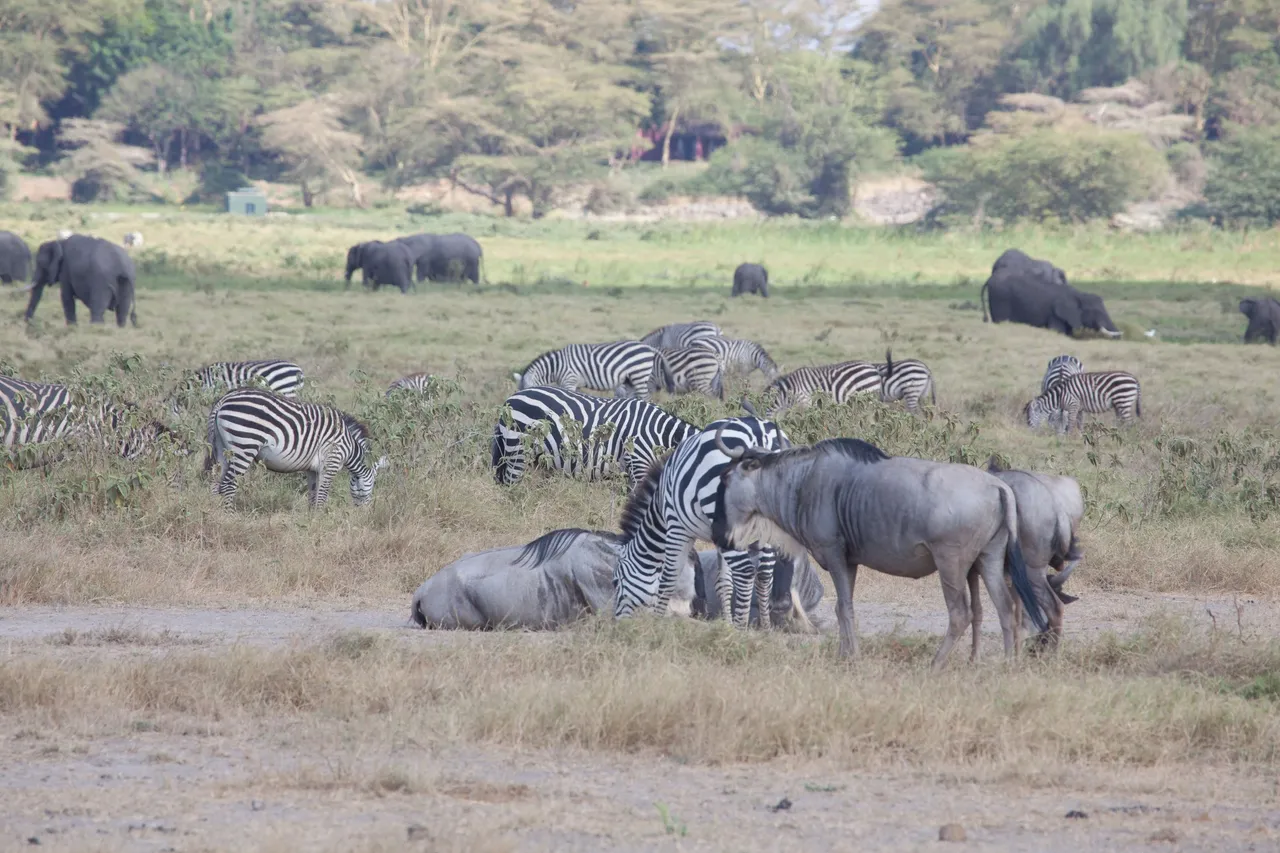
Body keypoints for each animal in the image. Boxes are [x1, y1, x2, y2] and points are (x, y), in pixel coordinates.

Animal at [202, 389, 384, 507]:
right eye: (373, 484)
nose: (365, 513)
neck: (349, 445)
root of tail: (223, 400)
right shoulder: (331, 463)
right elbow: (322, 497)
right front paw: (320, 524)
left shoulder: (313, 470)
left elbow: (312, 497)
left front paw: (311, 522)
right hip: (244, 446)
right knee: (228, 486)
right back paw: (229, 517)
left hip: (221, 449)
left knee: (215, 483)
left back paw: (214, 515)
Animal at [509, 340, 675, 399]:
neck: (556, 367)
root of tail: (649, 348)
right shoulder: (575, 383)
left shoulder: (570, 380)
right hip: (630, 379)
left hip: (639, 375)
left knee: (645, 397)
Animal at [611, 417, 788, 625]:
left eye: (615, 582)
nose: (617, 622)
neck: (659, 506)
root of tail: (761, 435)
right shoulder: (717, 538)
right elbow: (724, 583)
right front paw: (726, 625)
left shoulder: (677, 527)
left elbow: (668, 577)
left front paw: (657, 620)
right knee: (764, 573)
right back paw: (765, 627)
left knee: (745, 573)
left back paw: (741, 628)